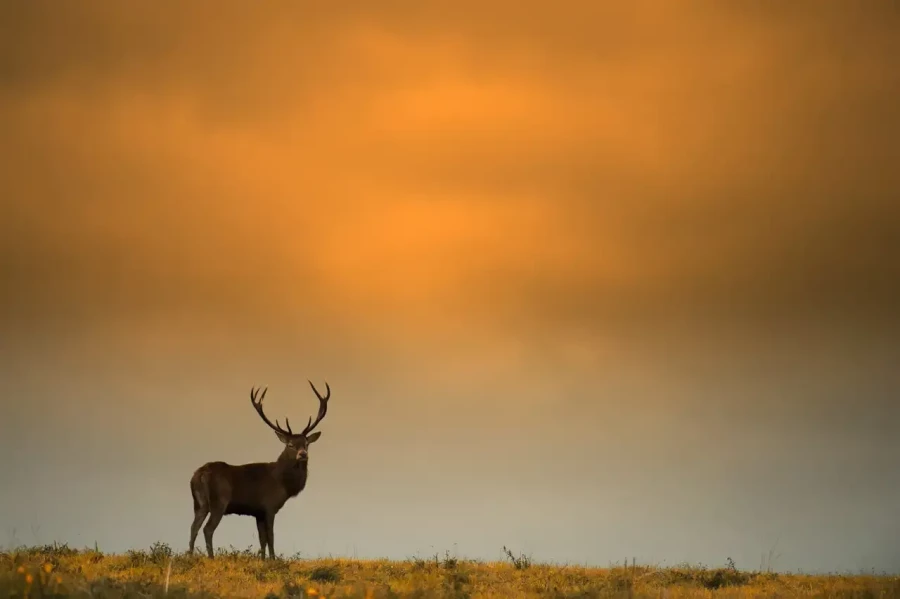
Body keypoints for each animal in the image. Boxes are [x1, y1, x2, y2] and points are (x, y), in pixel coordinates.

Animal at [188, 380, 331, 559]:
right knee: (208, 529)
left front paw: (263, 559)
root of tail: (199, 475)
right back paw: (211, 557)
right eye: (290, 444)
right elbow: (271, 536)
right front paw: (273, 559)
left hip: (198, 503)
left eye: (306, 443)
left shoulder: (257, 512)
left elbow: (261, 538)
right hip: (219, 501)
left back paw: (189, 555)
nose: (303, 454)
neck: (283, 484)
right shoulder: (269, 506)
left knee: (193, 527)